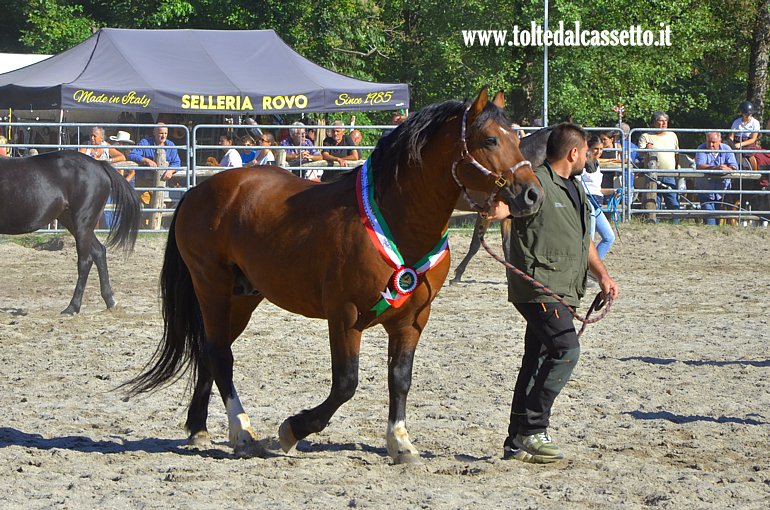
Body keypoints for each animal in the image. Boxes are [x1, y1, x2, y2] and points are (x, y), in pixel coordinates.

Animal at [0, 150, 141, 314]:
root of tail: (99, 165)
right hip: (73, 222)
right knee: (99, 252)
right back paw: (110, 301)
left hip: (82, 223)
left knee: (85, 262)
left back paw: (72, 307)